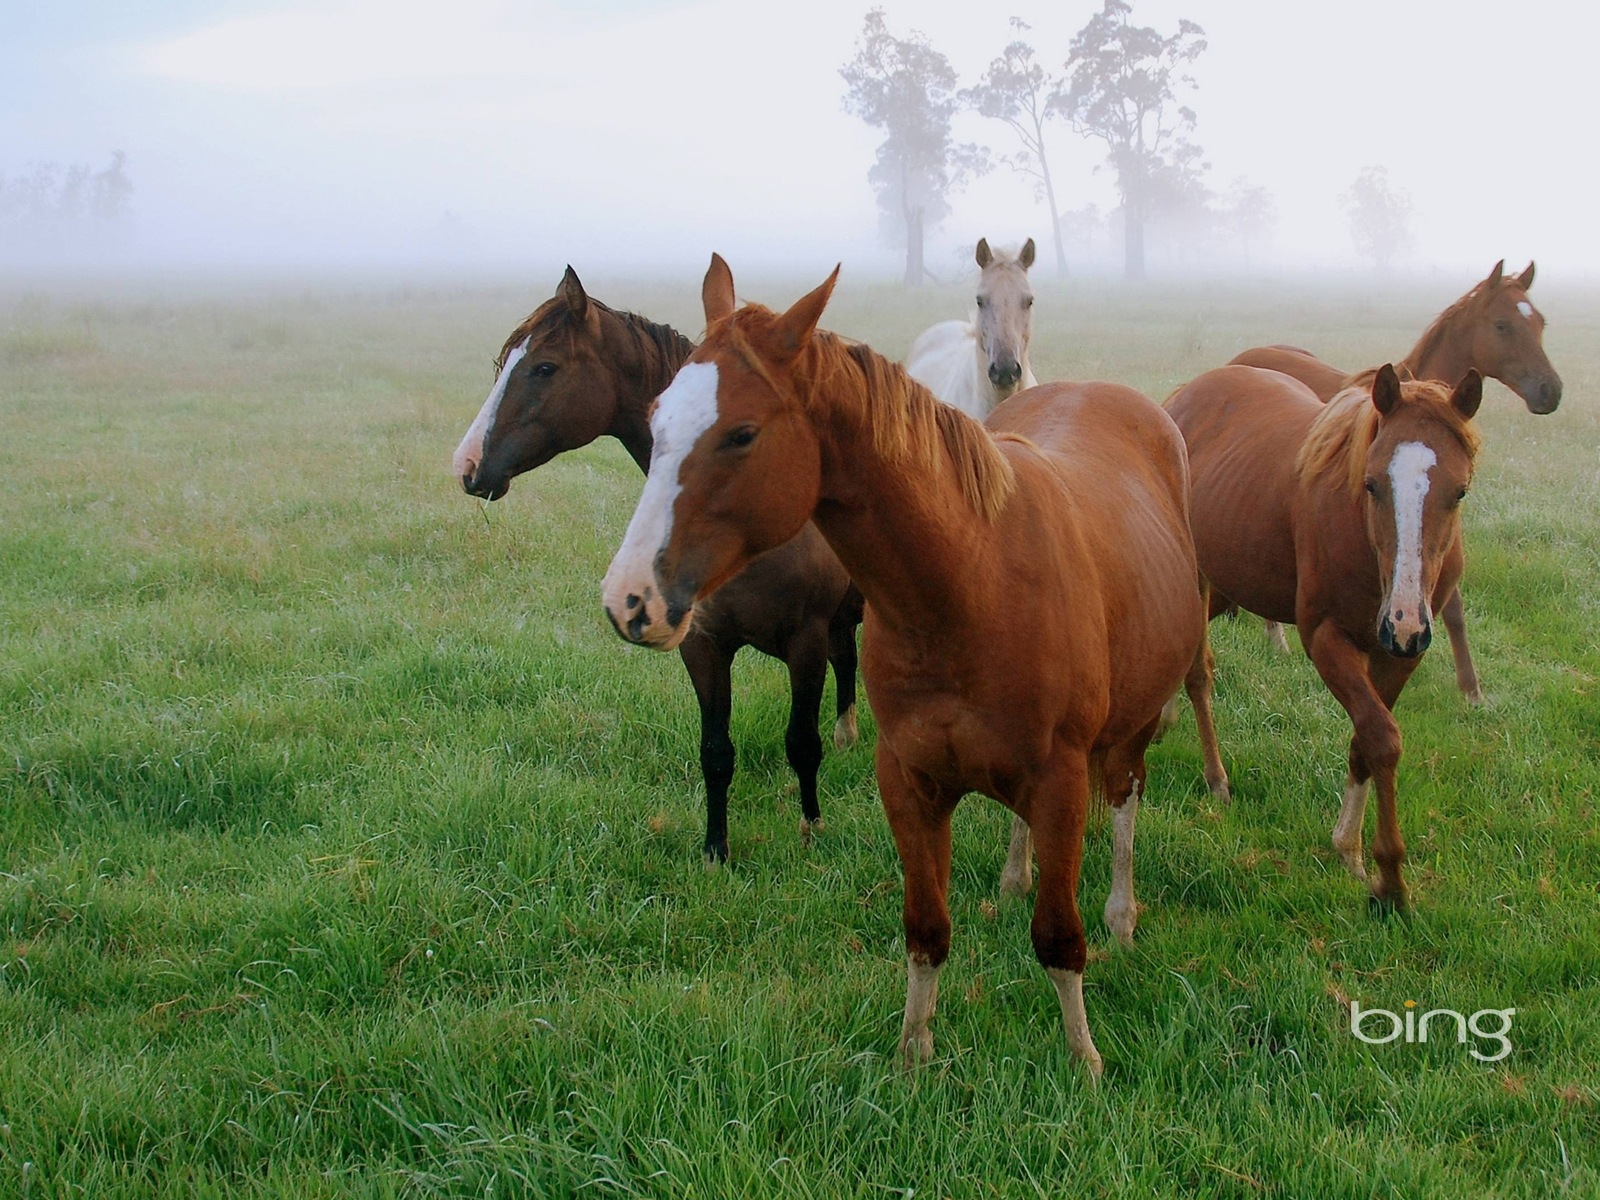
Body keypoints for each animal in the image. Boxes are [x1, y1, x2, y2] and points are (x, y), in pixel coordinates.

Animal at [451, 264, 864, 864]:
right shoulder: (703, 647)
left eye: (544, 367)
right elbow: (716, 752)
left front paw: (812, 829)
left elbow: (801, 744)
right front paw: (715, 852)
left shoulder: (803, 643)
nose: (467, 465)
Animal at [601, 260, 1203, 1081]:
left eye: (742, 433)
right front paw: (914, 1054)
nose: (629, 600)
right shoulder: (909, 780)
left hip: (1132, 726)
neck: (970, 582)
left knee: (1124, 800)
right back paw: (1015, 875)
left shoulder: (1059, 779)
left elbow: (1058, 935)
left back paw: (1121, 912)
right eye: (657, 419)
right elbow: (925, 929)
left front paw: (1084, 1061)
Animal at [1164, 366, 1484, 908]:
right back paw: (1216, 778)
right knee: (1198, 674)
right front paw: (1389, 881)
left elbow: (1366, 741)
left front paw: (1349, 850)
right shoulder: (1326, 640)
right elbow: (1382, 739)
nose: (1403, 620)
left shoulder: (1398, 656)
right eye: (1372, 484)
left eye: (1459, 491)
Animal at [1228, 259, 1555, 700]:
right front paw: (1470, 688)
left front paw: (1471, 690)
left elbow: (1452, 608)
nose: (1550, 391)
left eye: (1539, 322)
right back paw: (1276, 637)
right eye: (1502, 325)